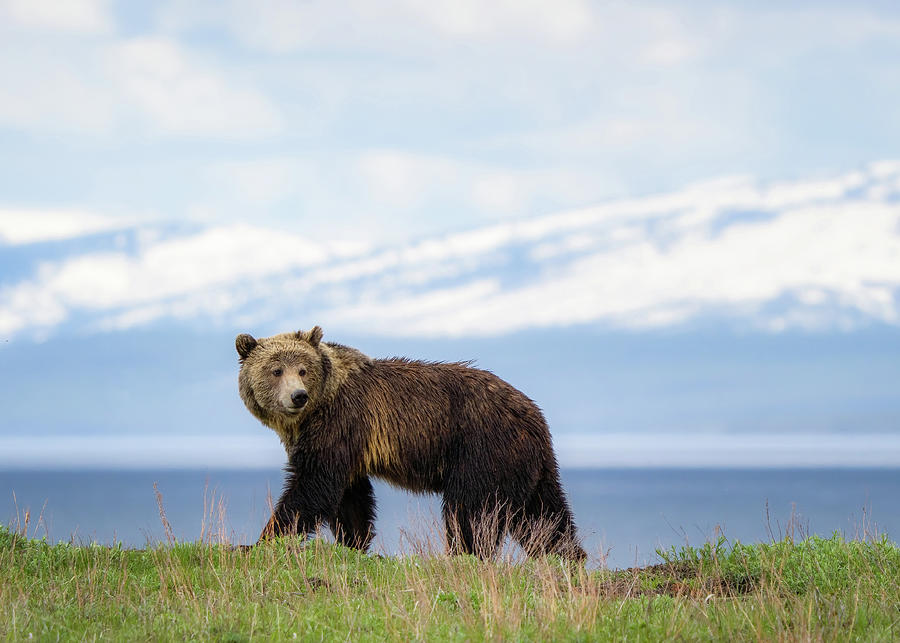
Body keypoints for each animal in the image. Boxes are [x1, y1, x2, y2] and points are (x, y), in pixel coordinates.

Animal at [236, 324, 584, 560]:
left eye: (303, 369)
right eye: (276, 370)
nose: (298, 396)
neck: (314, 410)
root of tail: (534, 416)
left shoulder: (341, 423)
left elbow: (313, 486)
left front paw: (259, 541)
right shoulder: (349, 443)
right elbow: (350, 496)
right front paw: (354, 541)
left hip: (482, 448)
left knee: (470, 512)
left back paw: (463, 556)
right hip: (528, 466)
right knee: (544, 516)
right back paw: (569, 558)